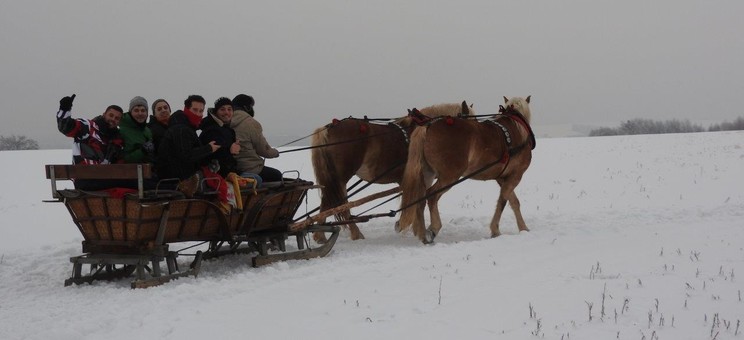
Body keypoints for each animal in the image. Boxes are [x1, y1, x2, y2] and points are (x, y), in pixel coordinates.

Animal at [310, 100, 474, 242]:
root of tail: (329, 128)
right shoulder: (421, 178)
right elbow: (417, 202)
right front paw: (413, 228)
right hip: (341, 176)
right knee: (337, 203)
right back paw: (346, 234)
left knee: (332, 202)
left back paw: (322, 235)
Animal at [398, 95, 532, 243]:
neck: (517, 128)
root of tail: (428, 126)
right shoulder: (516, 175)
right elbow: (503, 201)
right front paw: (499, 229)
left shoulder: (502, 177)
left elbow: (513, 201)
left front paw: (521, 228)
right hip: (450, 176)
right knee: (431, 196)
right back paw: (433, 228)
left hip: (427, 174)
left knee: (420, 199)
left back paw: (422, 234)